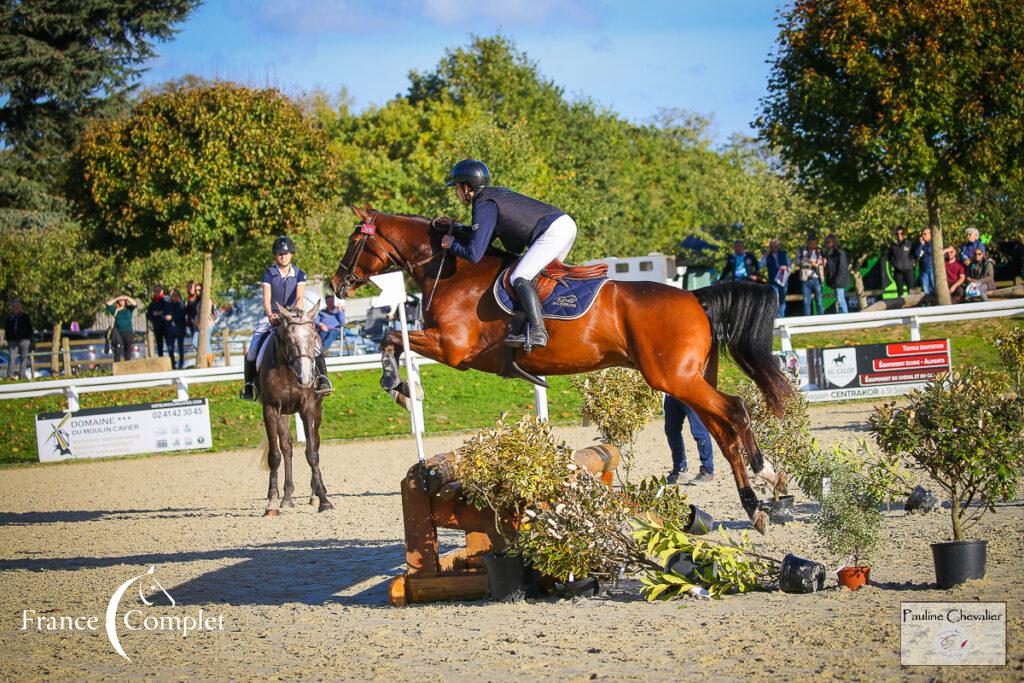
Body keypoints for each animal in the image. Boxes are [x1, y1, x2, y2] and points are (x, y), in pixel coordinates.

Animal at [256, 301, 331, 516]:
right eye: (289, 339)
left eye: (314, 337)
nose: (306, 379)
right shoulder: (271, 409)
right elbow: (275, 456)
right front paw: (272, 502)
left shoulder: (309, 408)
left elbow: (312, 453)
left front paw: (324, 500)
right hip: (283, 414)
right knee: (286, 447)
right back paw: (287, 497)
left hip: (317, 411)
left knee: (314, 444)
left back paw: (314, 494)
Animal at [333, 205, 790, 532]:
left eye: (354, 239)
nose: (337, 285)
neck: (452, 270)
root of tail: (694, 297)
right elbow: (393, 338)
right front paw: (403, 389)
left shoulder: (453, 348)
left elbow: (391, 337)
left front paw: (396, 385)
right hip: (688, 380)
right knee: (724, 434)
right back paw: (755, 508)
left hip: (675, 378)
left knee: (735, 410)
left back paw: (770, 476)